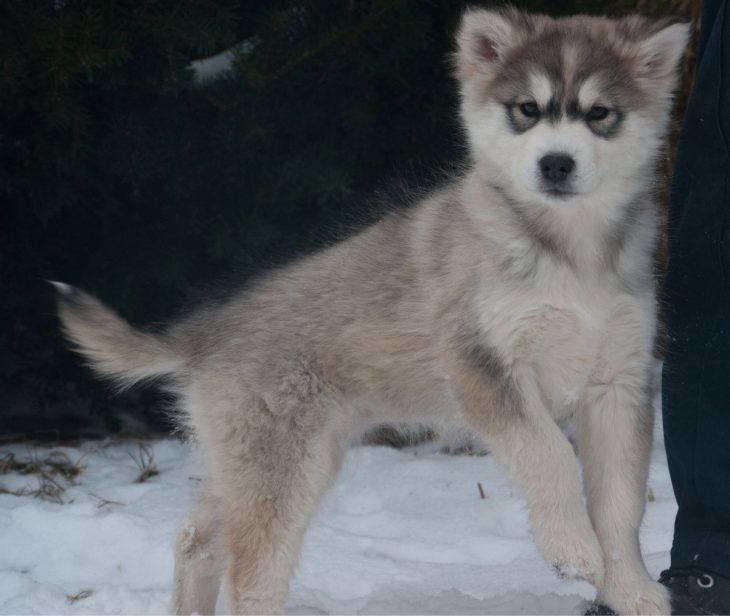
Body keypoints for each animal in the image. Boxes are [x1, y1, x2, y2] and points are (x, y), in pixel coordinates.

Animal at [57, 7, 688, 612]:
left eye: (600, 113)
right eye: (527, 110)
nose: (556, 164)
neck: (568, 250)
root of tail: (206, 331)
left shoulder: (619, 380)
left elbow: (621, 502)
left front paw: (629, 590)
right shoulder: (480, 364)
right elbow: (549, 454)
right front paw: (572, 549)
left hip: (265, 463)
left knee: (197, 540)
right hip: (281, 471)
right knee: (250, 573)